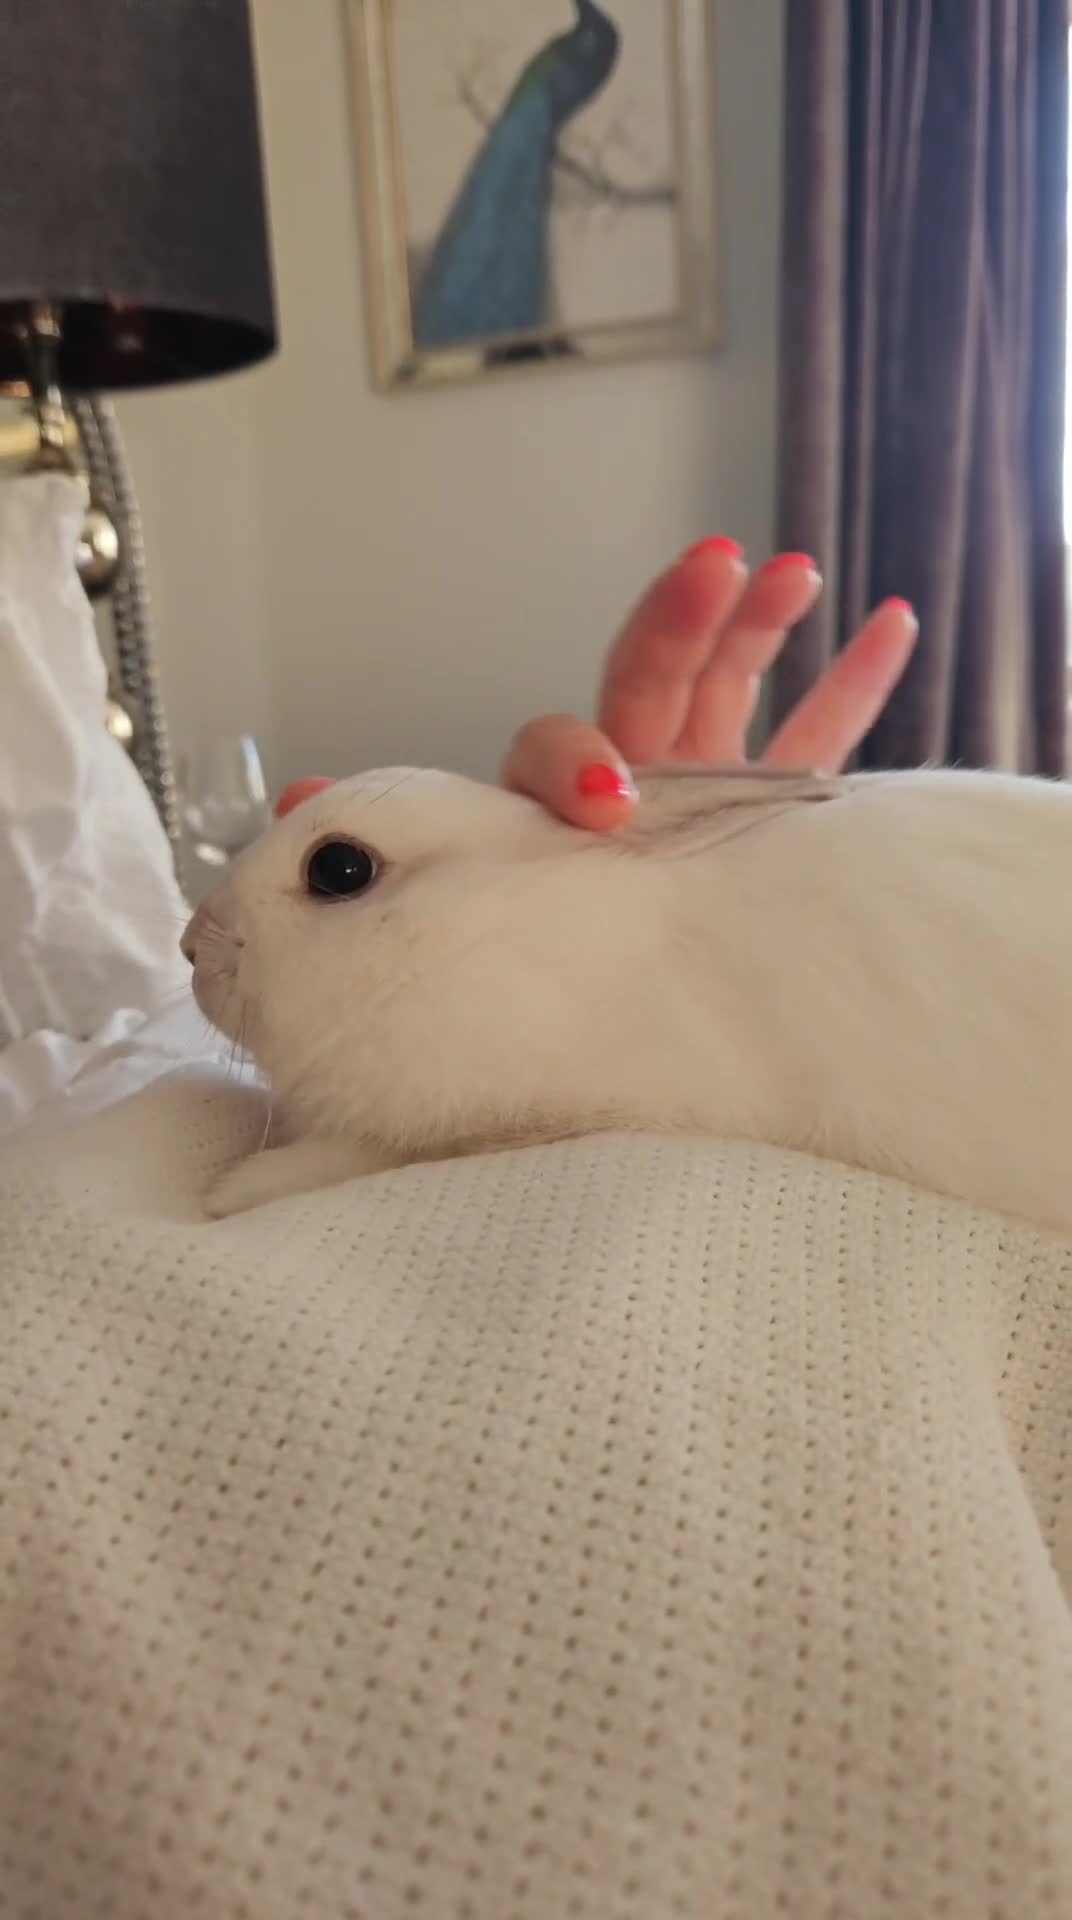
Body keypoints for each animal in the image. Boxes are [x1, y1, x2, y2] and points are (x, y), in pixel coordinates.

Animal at [182, 761, 1072, 1235]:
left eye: (340, 869)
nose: (191, 946)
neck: (482, 928)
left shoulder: (551, 1113)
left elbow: (366, 1156)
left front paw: (235, 1191)